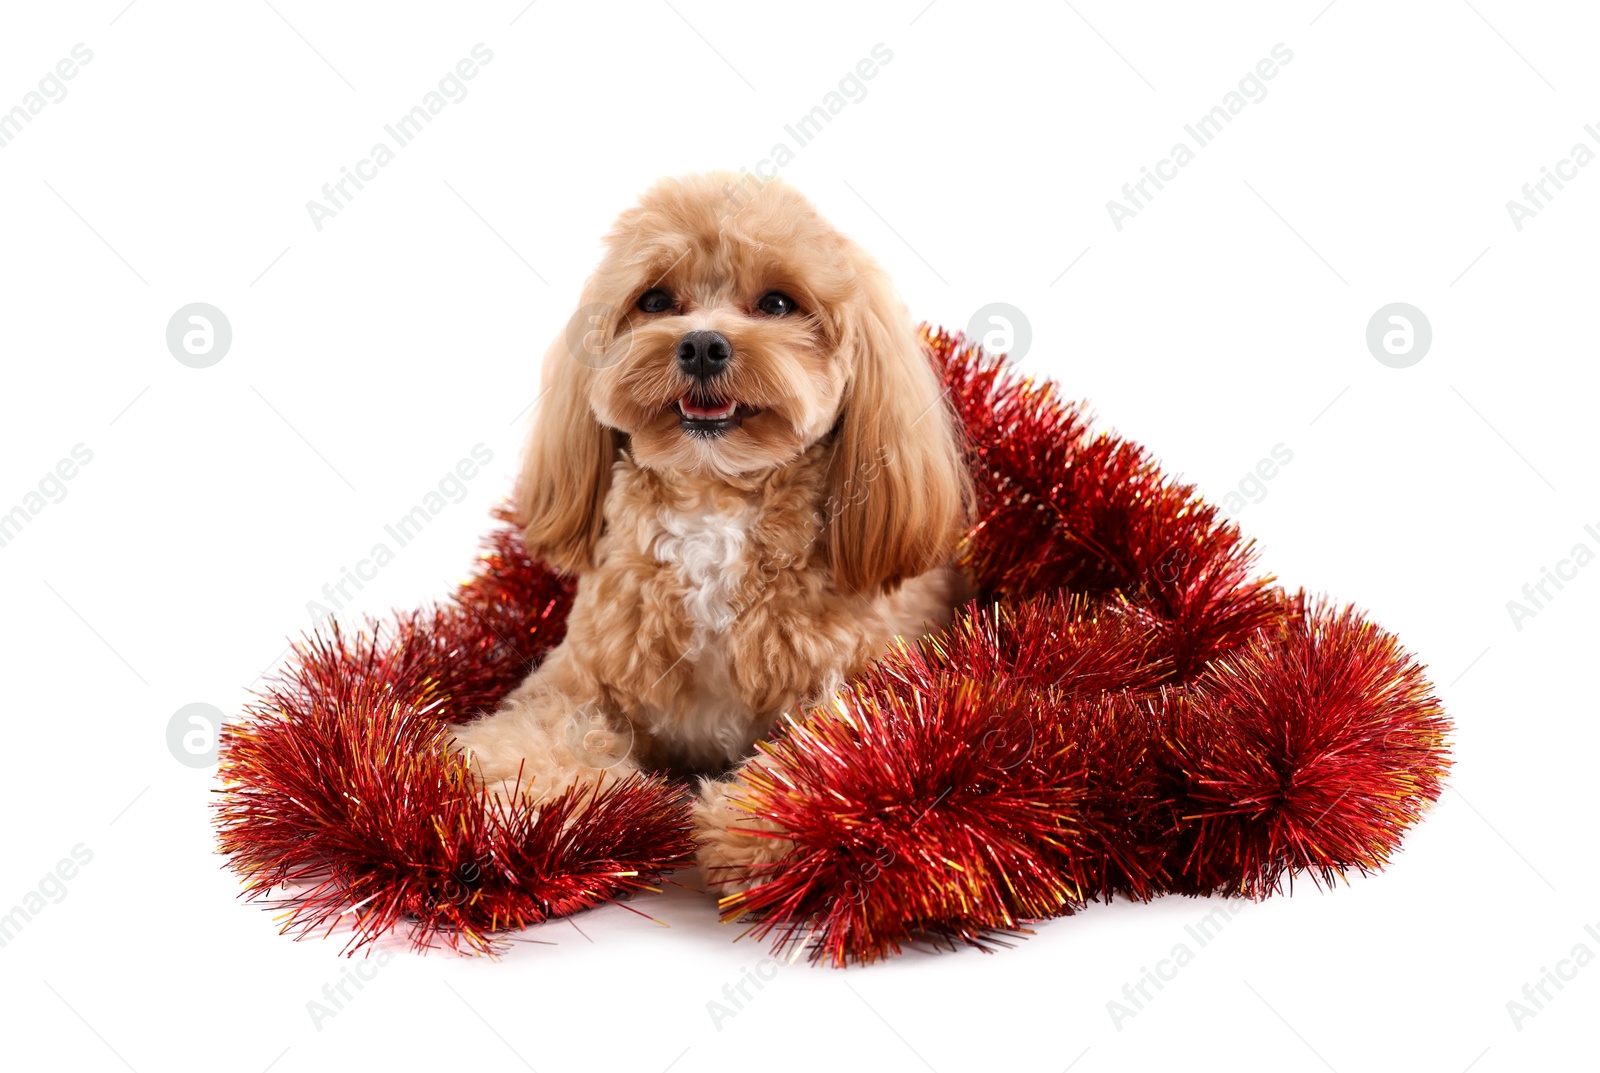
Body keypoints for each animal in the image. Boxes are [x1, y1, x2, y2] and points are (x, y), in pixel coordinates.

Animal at [451, 175, 972, 895]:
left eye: (778, 302)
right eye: (655, 300)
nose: (701, 344)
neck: (714, 506)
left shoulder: (864, 683)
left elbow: (837, 751)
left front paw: (754, 822)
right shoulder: (576, 678)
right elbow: (536, 735)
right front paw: (535, 801)